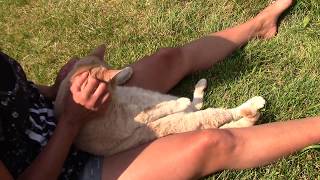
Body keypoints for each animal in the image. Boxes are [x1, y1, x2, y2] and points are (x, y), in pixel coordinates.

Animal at [54, 46, 264, 156]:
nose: (115, 91)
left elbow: (117, 75)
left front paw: (125, 71)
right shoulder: (128, 120)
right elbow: (150, 111)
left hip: (155, 96)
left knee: (196, 105)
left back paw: (200, 87)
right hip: (179, 120)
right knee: (213, 112)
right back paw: (253, 105)